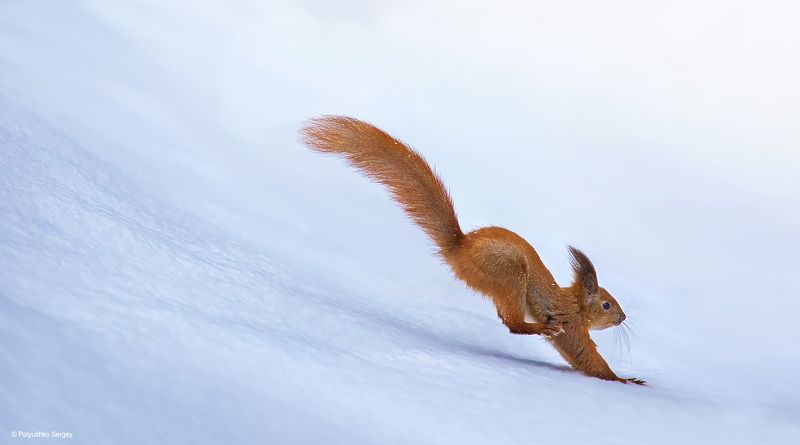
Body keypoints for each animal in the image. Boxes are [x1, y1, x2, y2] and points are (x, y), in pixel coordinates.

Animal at [301, 116, 645, 385]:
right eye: (606, 305)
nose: (623, 317)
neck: (574, 303)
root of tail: (460, 249)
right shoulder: (572, 325)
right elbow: (585, 356)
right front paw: (625, 379)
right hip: (508, 274)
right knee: (513, 325)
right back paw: (541, 326)